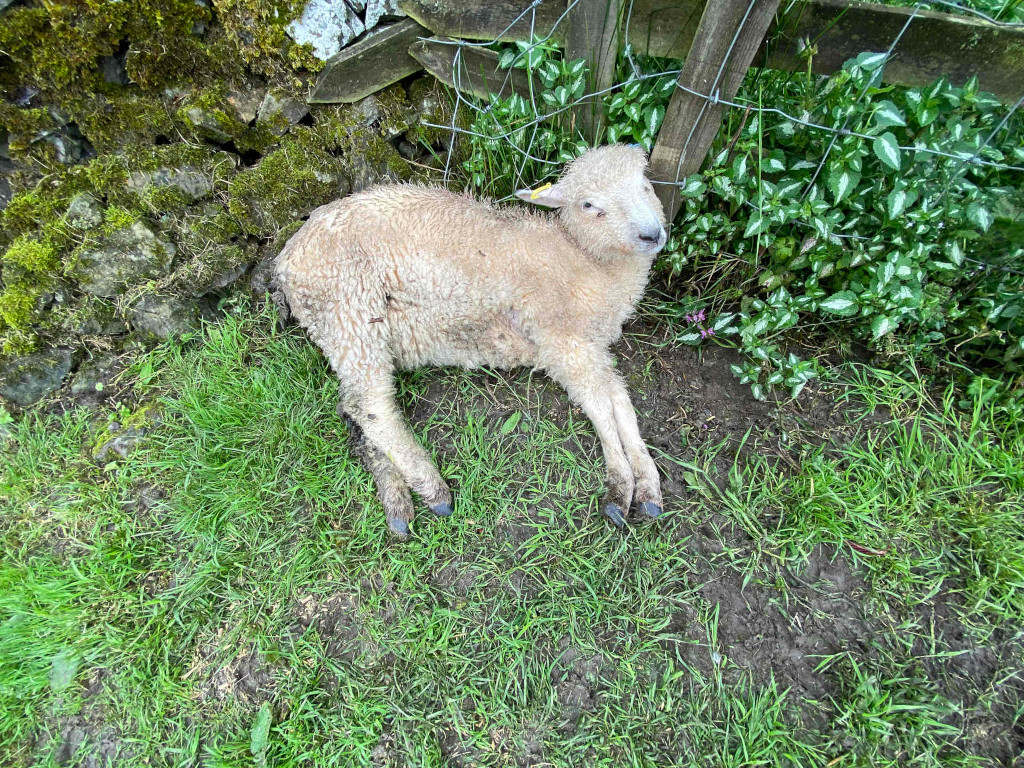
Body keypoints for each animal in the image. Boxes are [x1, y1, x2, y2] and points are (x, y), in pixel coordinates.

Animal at [273, 143, 668, 537]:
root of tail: (286, 258)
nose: (652, 235)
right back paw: (432, 489)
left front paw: (648, 486)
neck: (588, 261)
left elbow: (620, 402)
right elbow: (601, 406)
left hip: (343, 327)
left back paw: (397, 501)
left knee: (353, 411)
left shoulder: (591, 348)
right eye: (589, 204)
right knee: (369, 407)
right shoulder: (560, 340)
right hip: (350, 307)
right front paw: (619, 489)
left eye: (645, 184)